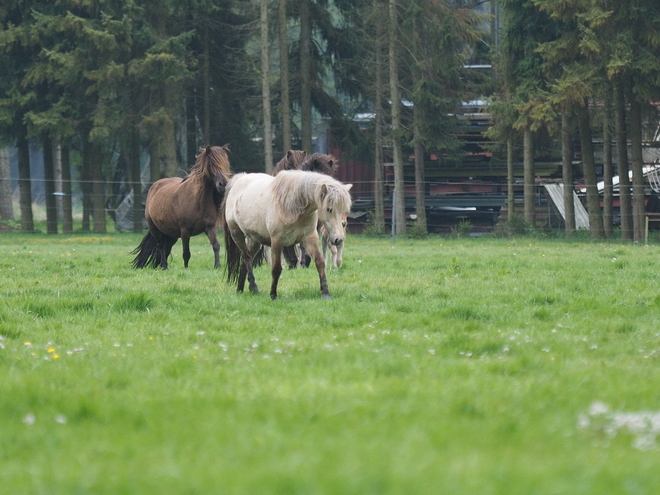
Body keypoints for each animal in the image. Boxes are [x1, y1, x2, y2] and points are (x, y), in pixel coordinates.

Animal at [222, 170, 354, 300]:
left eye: (345, 211)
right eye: (329, 209)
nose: (339, 239)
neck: (293, 205)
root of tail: (239, 179)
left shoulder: (309, 238)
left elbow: (320, 262)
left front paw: (325, 293)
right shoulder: (277, 241)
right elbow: (276, 268)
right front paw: (273, 295)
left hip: (254, 239)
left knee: (245, 261)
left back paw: (240, 289)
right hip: (236, 234)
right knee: (247, 258)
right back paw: (254, 287)